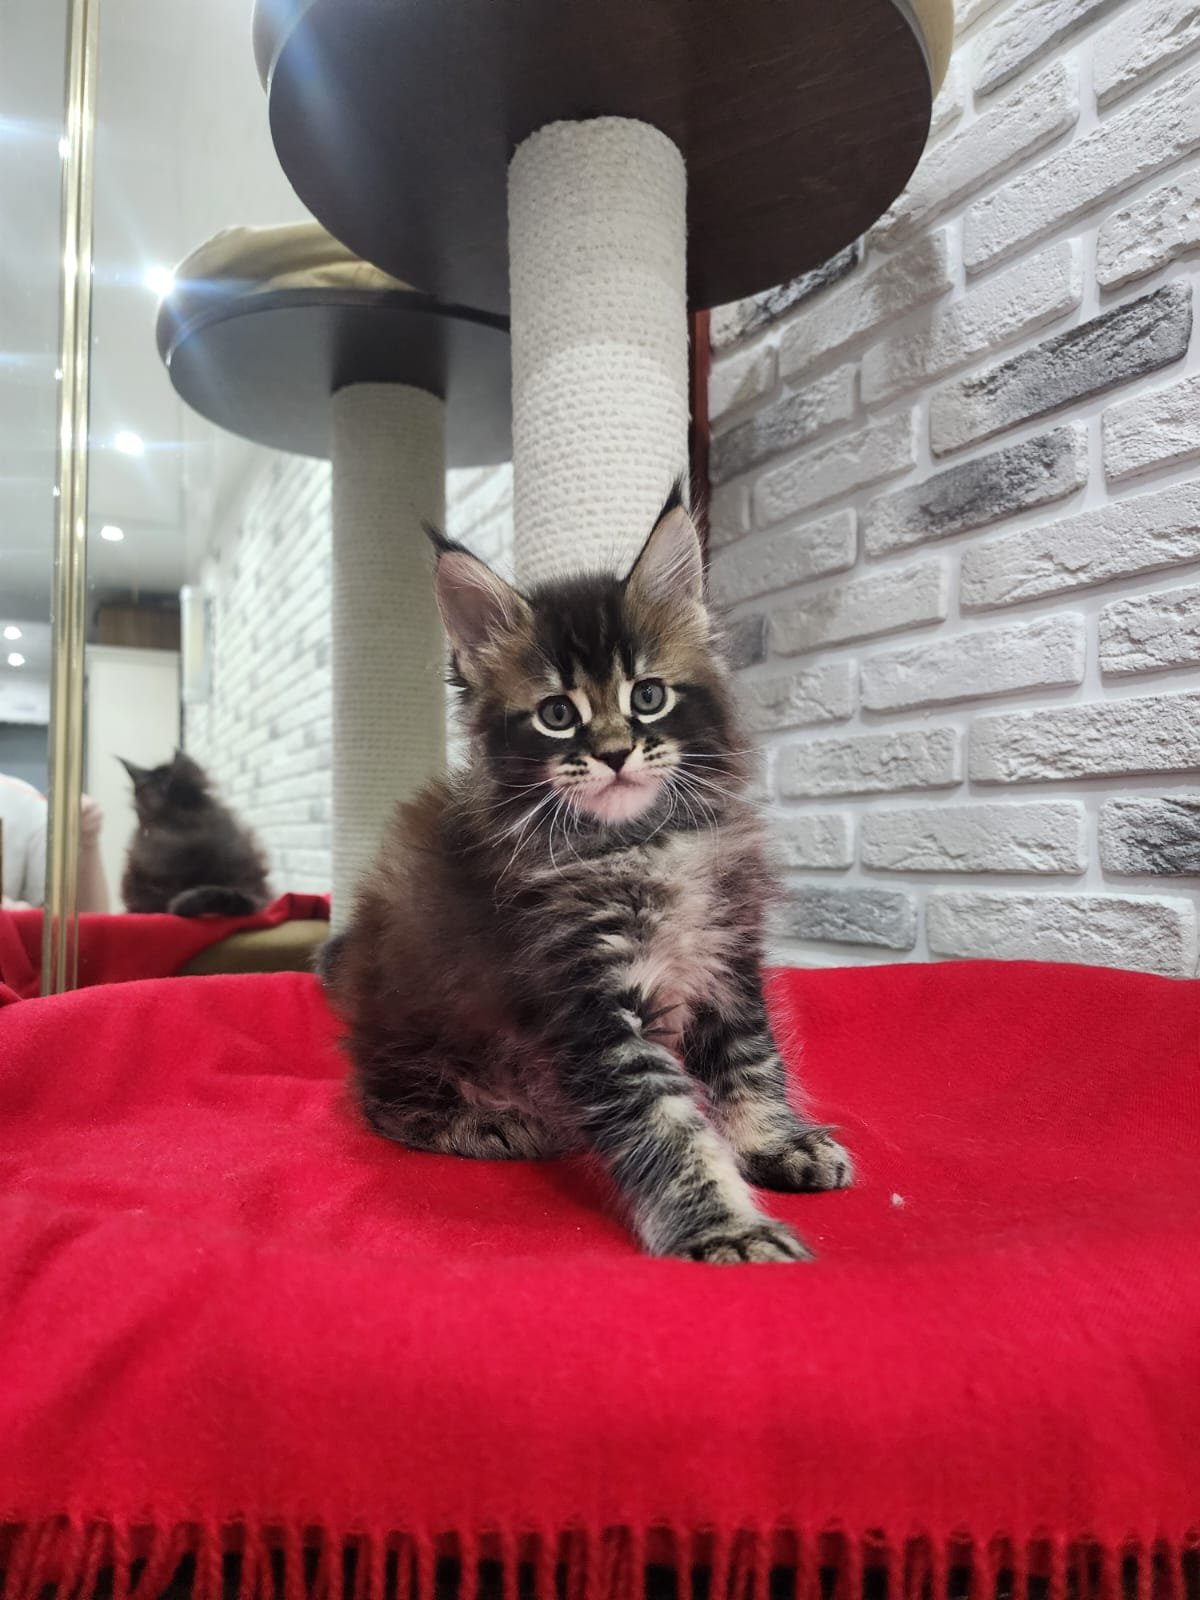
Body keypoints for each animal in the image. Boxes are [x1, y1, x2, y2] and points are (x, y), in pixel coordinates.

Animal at [322, 486, 853, 1263]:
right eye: (556, 713)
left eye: (648, 697)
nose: (612, 753)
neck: (643, 844)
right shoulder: (587, 1001)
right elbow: (666, 1125)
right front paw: (725, 1228)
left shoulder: (726, 961)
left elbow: (751, 1061)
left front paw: (774, 1142)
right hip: (418, 1028)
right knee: (383, 1102)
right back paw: (485, 1122)